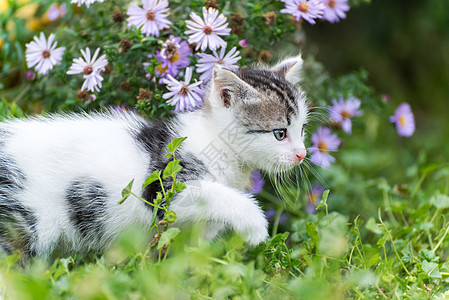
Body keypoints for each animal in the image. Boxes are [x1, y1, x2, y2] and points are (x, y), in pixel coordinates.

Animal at [0, 56, 308, 258]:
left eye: (301, 129)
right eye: (280, 133)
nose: (302, 154)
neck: (219, 147)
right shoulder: (162, 186)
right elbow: (210, 193)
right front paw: (255, 224)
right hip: (25, 223)